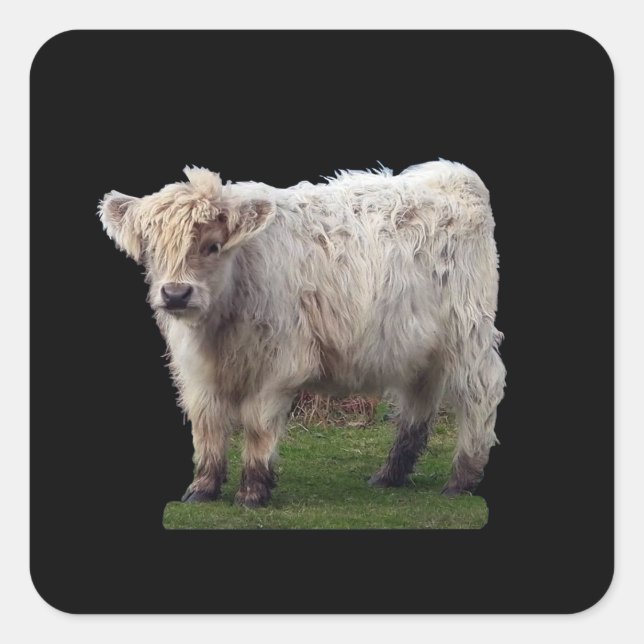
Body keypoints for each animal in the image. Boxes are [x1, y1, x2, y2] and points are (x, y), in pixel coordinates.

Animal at [99, 160, 506, 507]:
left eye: (213, 246)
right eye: (152, 250)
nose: (176, 294)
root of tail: (452, 173)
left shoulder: (276, 366)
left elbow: (257, 425)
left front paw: (252, 491)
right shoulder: (197, 373)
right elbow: (208, 425)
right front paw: (203, 488)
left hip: (469, 332)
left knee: (480, 392)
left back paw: (461, 479)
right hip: (417, 345)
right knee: (419, 402)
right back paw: (390, 475)